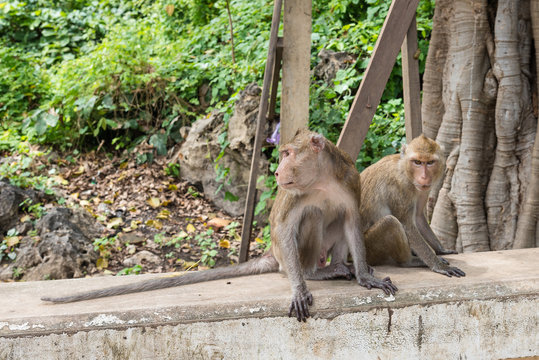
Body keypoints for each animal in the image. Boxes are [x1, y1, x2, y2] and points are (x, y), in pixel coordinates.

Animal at [43, 131, 396, 322]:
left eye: (289, 153)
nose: (278, 171)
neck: (321, 182)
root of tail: (274, 257)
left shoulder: (349, 178)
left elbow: (351, 220)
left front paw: (366, 277)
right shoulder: (295, 193)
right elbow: (284, 226)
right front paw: (299, 288)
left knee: (336, 219)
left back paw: (337, 266)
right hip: (288, 256)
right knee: (311, 219)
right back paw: (313, 272)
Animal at [360, 134, 466, 278]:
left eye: (430, 162)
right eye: (417, 162)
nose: (424, 177)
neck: (405, 169)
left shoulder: (424, 189)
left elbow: (418, 217)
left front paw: (442, 250)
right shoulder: (400, 188)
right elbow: (408, 227)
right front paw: (439, 265)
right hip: (369, 249)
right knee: (390, 222)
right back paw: (409, 261)